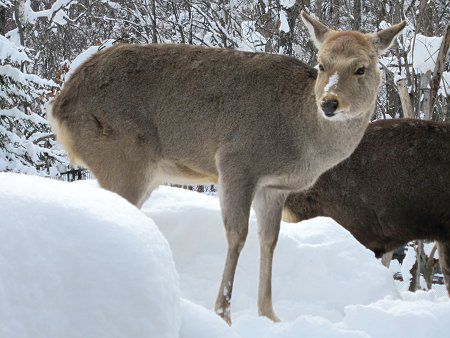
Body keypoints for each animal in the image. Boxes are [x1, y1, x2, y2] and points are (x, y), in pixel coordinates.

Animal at [48, 11, 404, 324]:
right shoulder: (236, 161)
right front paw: (223, 314)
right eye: (321, 64)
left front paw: (269, 314)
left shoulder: (274, 187)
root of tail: (60, 104)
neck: (300, 138)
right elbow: (237, 235)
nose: (329, 103)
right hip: (120, 154)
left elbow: (269, 239)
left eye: (361, 68)